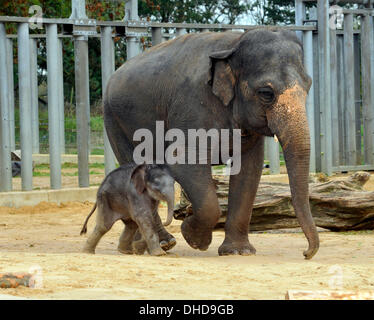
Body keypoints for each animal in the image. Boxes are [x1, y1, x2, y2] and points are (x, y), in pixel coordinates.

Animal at [103, 26, 320, 258]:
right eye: (266, 93)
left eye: (309, 86)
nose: (306, 253)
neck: (234, 43)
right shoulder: (192, 105)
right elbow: (183, 161)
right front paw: (195, 239)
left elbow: (249, 169)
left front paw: (238, 252)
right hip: (115, 121)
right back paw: (160, 244)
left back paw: (140, 246)